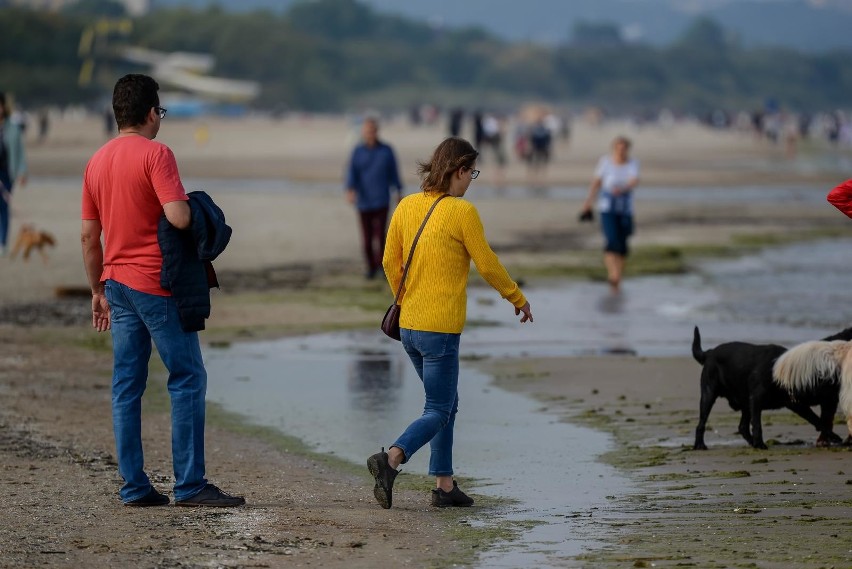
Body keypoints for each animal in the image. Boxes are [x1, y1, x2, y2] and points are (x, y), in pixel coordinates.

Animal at [688, 326, 852, 450]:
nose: (837, 398)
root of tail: (709, 352)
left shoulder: (797, 404)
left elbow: (818, 420)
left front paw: (833, 436)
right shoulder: (756, 400)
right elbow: (757, 424)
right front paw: (760, 444)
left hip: (744, 402)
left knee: (742, 427)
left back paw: (751, 443)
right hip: (709, 394)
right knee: (701, 423)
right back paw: (700, 445)